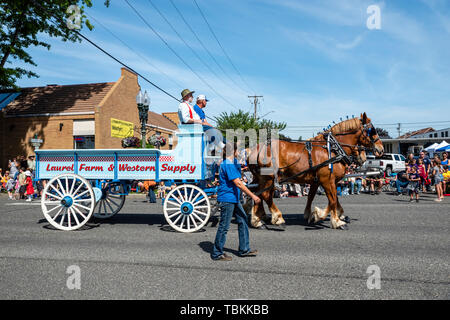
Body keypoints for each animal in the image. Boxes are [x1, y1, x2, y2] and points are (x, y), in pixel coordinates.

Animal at [246, 112, 384, 230]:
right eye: (372, 131)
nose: (381, 149)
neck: (333, 149)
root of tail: (255, 149)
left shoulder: (318, 181)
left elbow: (317, 197)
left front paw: (314, 215)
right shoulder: (327, 180)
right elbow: (332, 200)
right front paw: (331, 219)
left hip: (260, 178)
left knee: (255, 193)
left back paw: (258, 219)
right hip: (269, 178)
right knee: (265, 195)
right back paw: (277, 218)